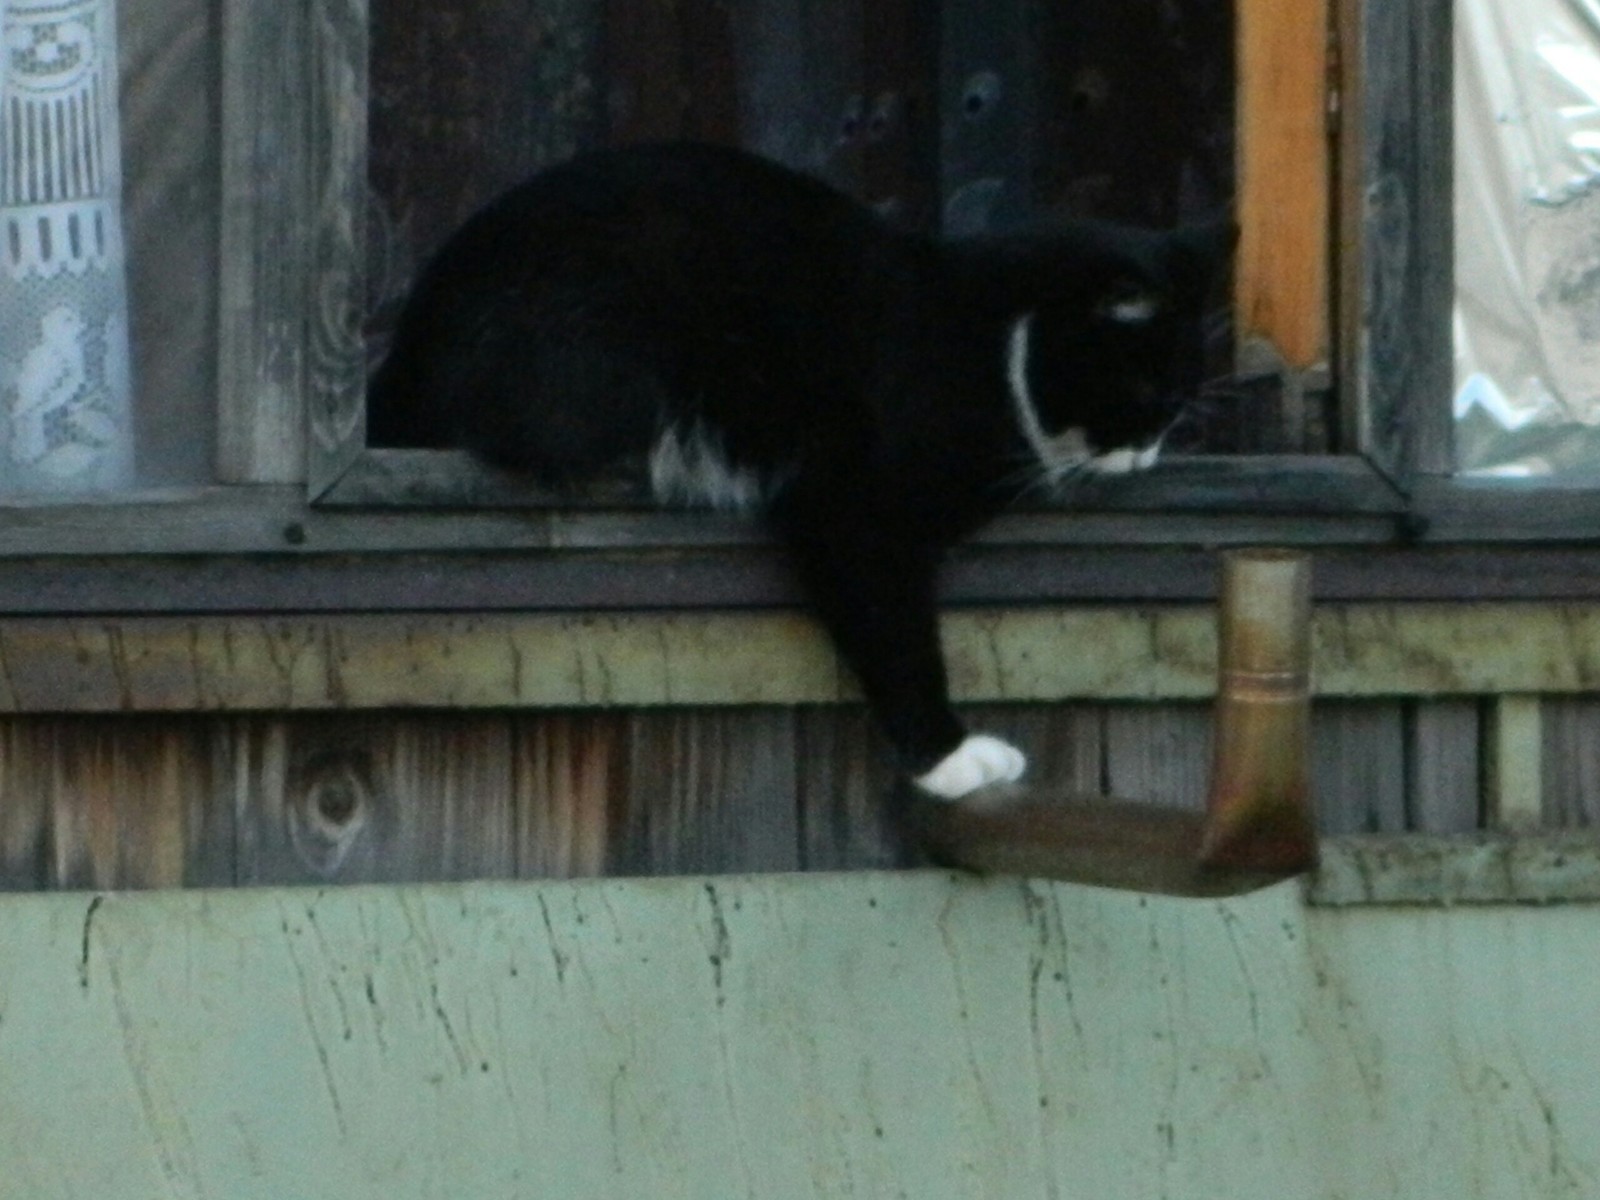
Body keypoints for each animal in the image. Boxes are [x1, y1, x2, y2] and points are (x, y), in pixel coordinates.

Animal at [368, 138, 1228, 800]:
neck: (985, 342)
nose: (1149, 451)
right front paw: (951, 761)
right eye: (1146, 394)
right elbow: (893, 628)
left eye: (1182, 399)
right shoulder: (856, 504)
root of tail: (407, 348)